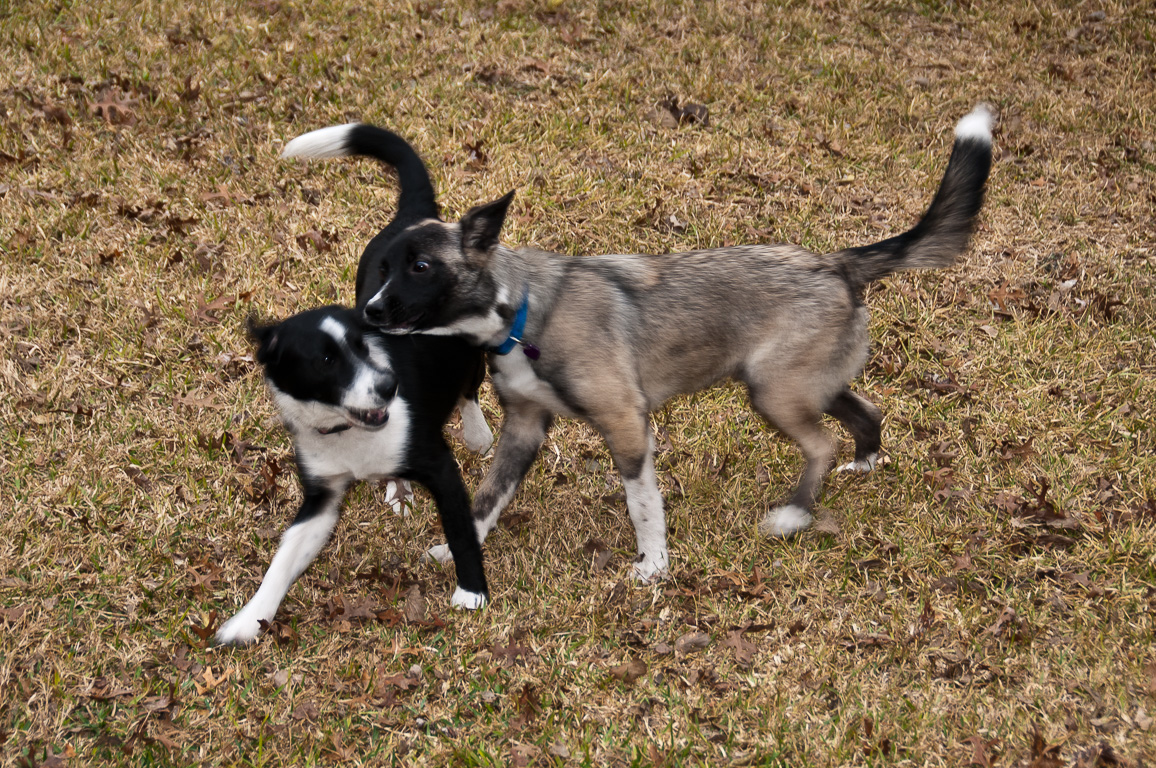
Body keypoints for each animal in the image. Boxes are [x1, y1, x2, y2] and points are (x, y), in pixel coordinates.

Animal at [286, 101, 994, 582]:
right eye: (381, 267)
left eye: (421, 266)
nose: (370, 312)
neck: (521, 313)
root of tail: (838, 263)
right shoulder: (524, 428)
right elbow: (488, 497)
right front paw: (455, 547)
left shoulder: (627, 424)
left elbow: (642, 502)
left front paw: (653, 566)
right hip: (798, 381)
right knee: (864, 413)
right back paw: (864, 464)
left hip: (774, 391)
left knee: (819, 444)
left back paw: (794, 515)